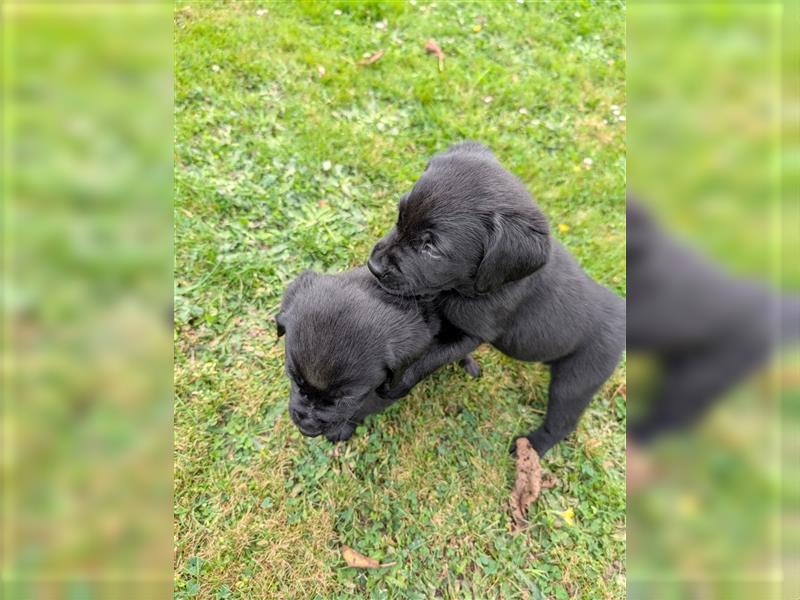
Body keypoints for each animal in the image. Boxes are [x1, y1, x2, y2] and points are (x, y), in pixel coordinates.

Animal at [368, 143, 624, 458]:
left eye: (431, 248)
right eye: (400, 214)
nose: (373, 266)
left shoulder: (472, 333)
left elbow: (428, 358)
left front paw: (397, 384)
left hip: (578, 379)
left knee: (563, 422)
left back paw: (532, 446)